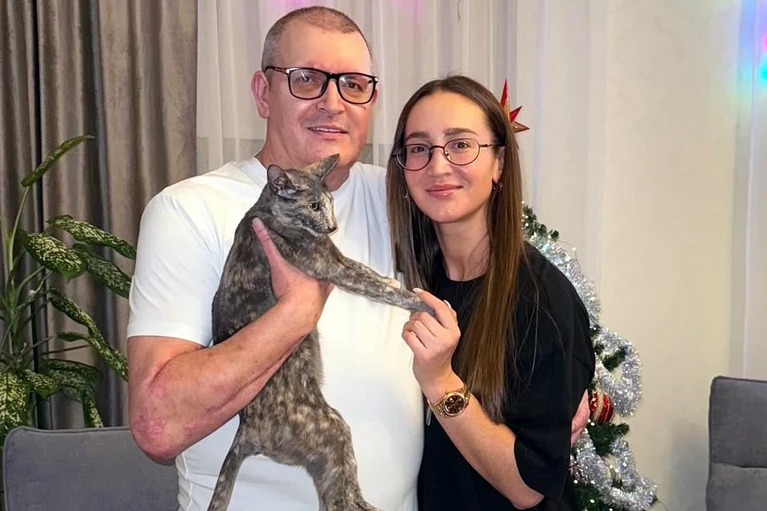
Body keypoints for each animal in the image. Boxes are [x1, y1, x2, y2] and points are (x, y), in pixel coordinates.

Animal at [206, 153, 433, 511]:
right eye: (313, 206)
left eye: (329, 203)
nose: (332, 227)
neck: (267, 214)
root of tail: (247, 430)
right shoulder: (329, 265)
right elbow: (374, 285)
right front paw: (420, 301)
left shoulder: (335, 257)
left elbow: (367, 271)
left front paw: (391, 280)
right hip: (331, 431)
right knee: (344, 497)